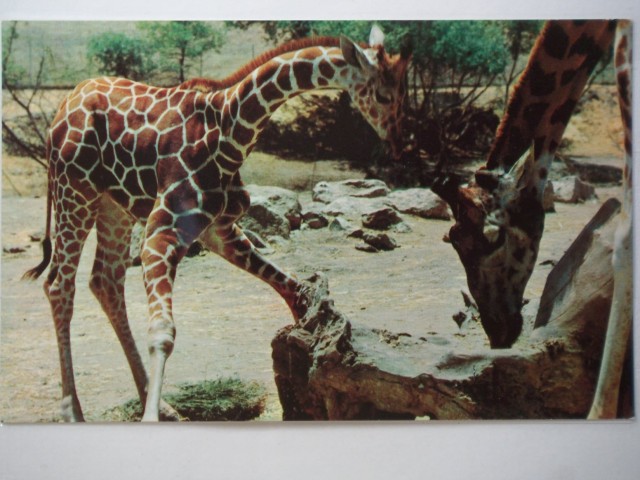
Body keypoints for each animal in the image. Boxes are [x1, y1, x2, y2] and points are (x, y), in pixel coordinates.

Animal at [22, 25, 411, 422]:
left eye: (404, 94)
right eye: (383, 95)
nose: (400, 145)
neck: (230, 132)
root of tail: (63, 107)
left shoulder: (219, 230)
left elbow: (294, 288)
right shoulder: (161, 235)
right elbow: (162, 332)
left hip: (112, 207)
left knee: (105, 282)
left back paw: (158, 402)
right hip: (74, 192)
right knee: (59, 286)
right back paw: (73, 410)